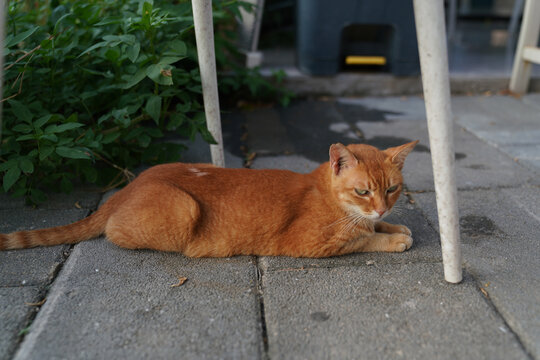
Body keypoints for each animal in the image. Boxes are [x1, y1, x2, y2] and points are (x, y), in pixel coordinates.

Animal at [0, 142, 418, 258]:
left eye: (392, 189)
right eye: (363, 191)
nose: (382, 205)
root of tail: (124, 190)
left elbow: (371, 226)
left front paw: (393, 223)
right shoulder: (312, 243)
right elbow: (363, 239)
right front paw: (394, 238)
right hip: (183, 209)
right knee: (113, 233)